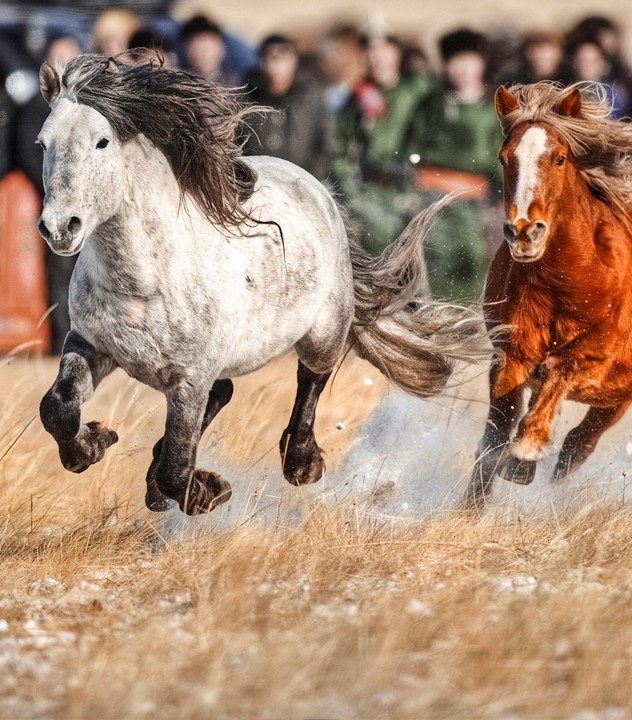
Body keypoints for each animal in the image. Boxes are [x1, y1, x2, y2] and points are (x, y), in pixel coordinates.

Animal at [36, 54, 484, 516]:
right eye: (42, 144)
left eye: (102, 142)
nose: (59, 228)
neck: (144, 284)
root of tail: (320, 189)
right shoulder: (90, 343)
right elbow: (57, 407)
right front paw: (92, 445)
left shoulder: (190, 380)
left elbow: (177, 464)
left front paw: (207, 491)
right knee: (227, 389)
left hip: (324, 329)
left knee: (311, 378)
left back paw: (302, 464)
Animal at [465, 81, 632, 508]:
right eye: (504, 158)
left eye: (559, 158)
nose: (525, 233)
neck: (568, 282)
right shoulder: (510, 355)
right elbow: (492, 439)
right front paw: (470, 508)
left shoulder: (596, 358)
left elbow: (558, 368)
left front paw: (525, 452)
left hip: (616, 397)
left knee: (579, 444)